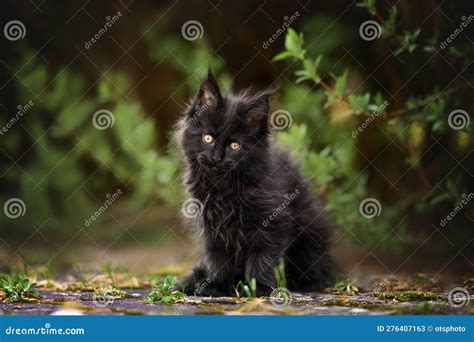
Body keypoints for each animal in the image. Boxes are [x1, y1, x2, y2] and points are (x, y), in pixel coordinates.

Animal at [178, 71, 334, 296]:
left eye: (235, 145)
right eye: (207, 138)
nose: (216, 158)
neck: (223, 187)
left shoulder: (272, 221)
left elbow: (263, 256)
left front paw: (258, 287)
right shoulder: (211, 225)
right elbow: (217, 258)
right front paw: (216, 285)